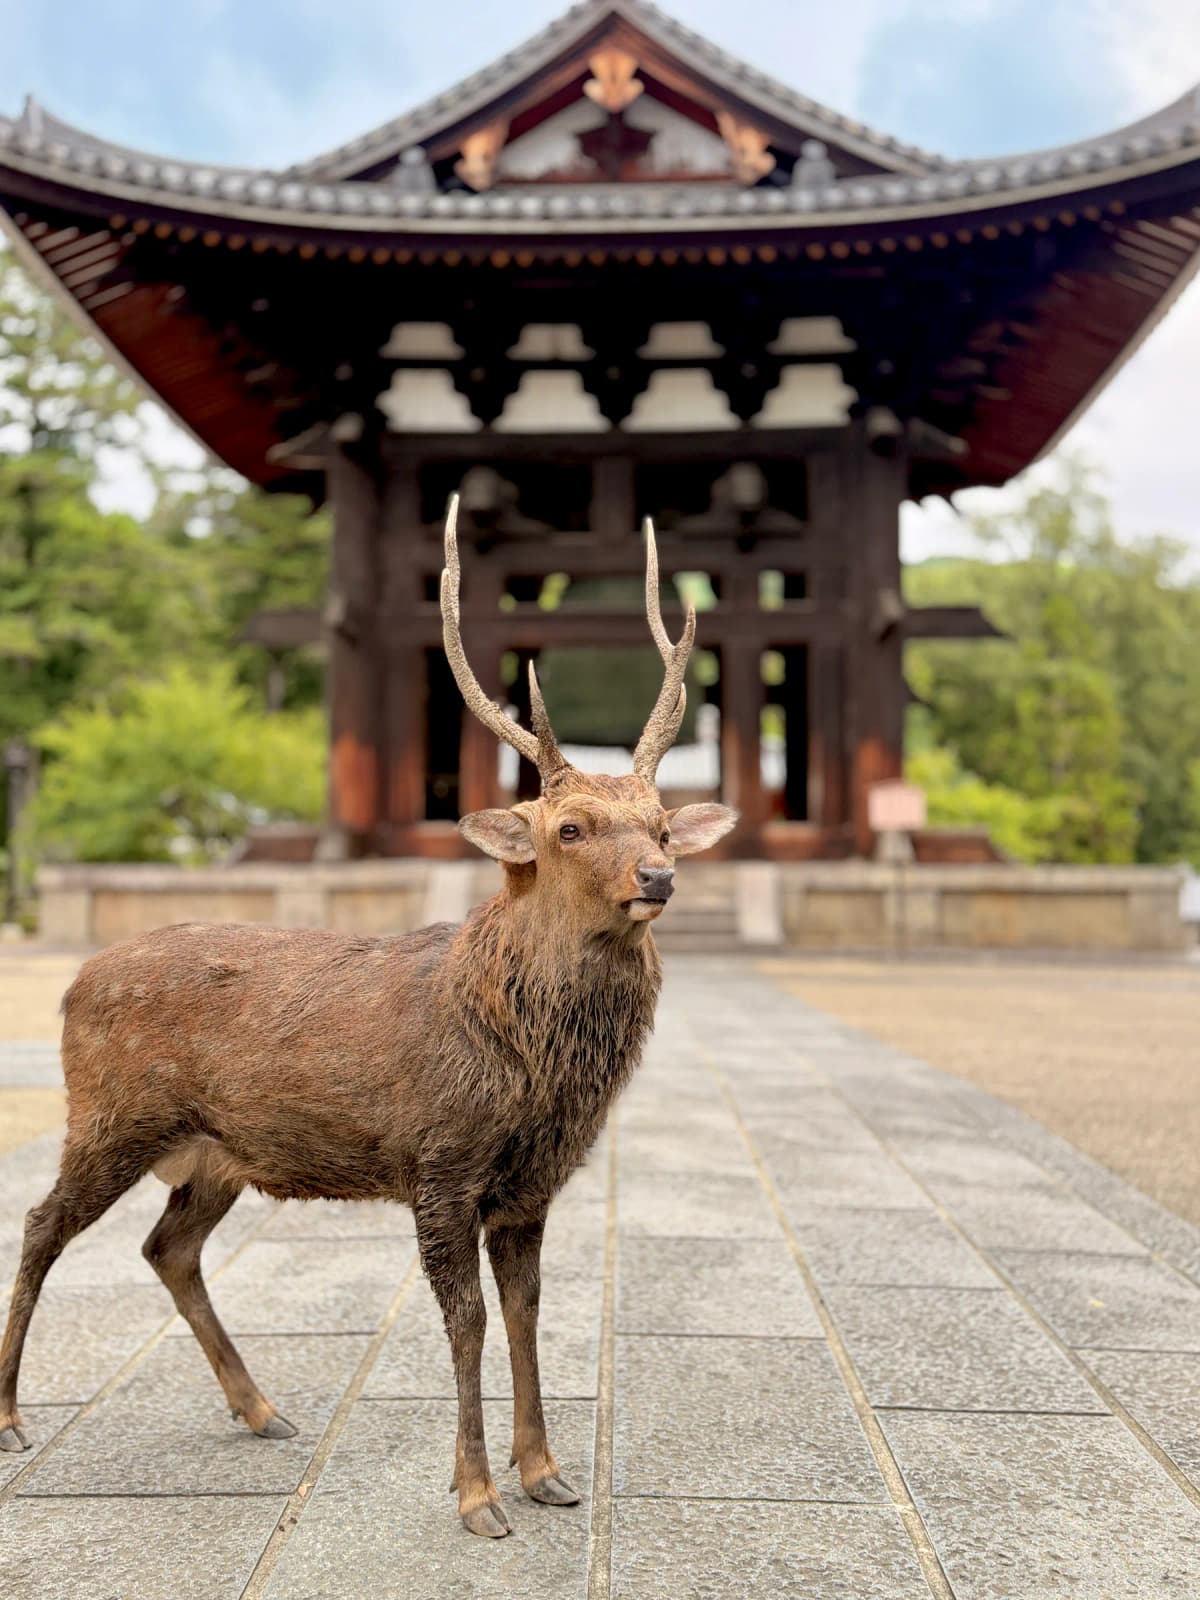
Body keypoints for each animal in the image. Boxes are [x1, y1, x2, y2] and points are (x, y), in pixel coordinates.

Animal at [0, 497, 737, 1537]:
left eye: (666, 824)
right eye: (569, 829)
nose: (660, 876)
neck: (526, 1069)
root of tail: (72, 982)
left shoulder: (532, 1183)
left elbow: (528, 1313)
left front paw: (547, 1472)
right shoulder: (439, 1161)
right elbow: (467, 1321)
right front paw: (477, 1496)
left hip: (216, 1153)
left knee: (165, 1247)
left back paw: (262, 1408)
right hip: (109, 1114)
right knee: (39, 1225)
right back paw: (13, 1417)